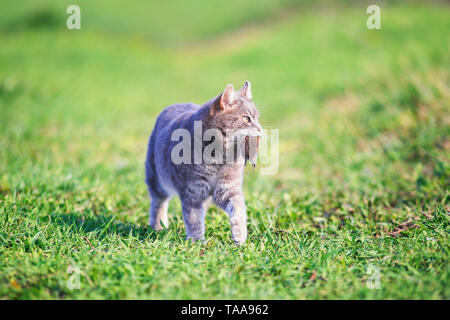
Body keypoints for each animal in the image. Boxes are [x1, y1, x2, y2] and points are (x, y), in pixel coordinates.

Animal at [146, 80, 262, 245]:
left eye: (257, 118)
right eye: (246, 119)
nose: (260, 129)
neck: (220, 158)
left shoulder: (227, 188)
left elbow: (238, 209)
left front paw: (240, 234)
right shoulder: (192, 191)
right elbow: (194, 219)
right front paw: (196, 241)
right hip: (156, 179)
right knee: (158, 203)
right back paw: (158, 227)